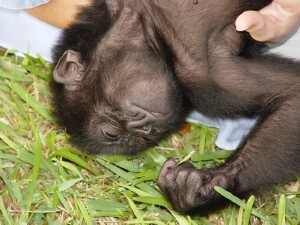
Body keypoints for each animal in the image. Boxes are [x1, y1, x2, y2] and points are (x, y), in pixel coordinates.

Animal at [52, 0, 300, 214]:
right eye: (138, 141)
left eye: (111, 132)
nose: (144, 131)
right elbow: (292, 96)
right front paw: (201, 188)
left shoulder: (202, 74)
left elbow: (293, 92)